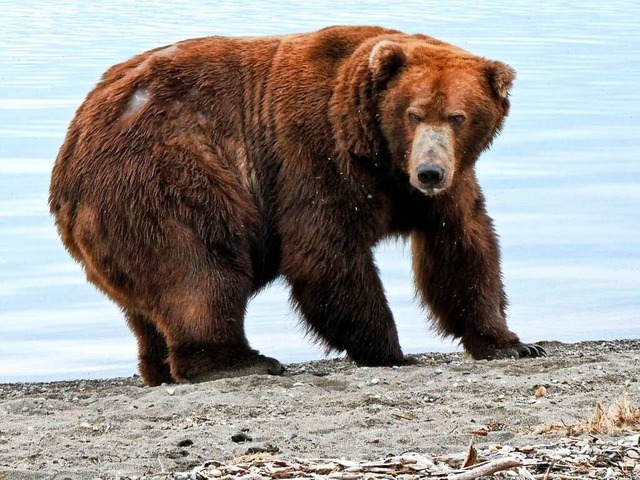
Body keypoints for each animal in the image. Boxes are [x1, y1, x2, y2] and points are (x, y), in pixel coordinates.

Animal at [48, 25, 544, 386]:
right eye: (414, 113)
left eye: (458, 116)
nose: (429, 172)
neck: (379, 155)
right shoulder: (315, 153)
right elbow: (325, 252)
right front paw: (391, 351)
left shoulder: (448, 183)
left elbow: (463, 248)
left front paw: (511, 342)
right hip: (166, 173)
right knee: (200, 268)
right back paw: (240, 360)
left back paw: (160, 369)